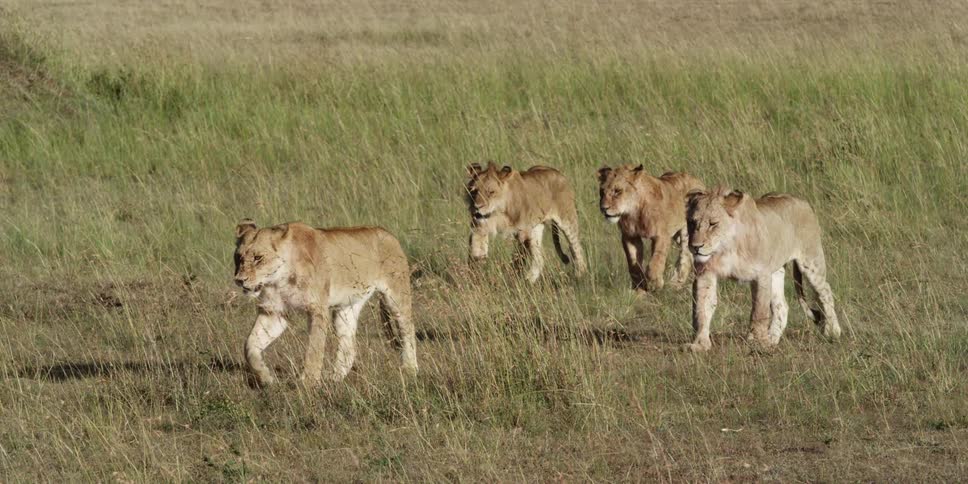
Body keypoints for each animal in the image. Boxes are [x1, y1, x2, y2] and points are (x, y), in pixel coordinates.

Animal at [233, 219, 417, 387]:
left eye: (258, 258)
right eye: (238, 257)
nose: (239, 280)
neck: (277, 281)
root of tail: (387, 233)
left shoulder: (317, 310)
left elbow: (314, 349)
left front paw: (308, 383)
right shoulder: (274, 312)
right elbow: (249, 345)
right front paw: (265, 377)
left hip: (396, 296)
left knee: (408, 328)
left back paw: (410, 368)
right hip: (346, 307)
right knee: (349, 344)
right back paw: (335, 377)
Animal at [683, 187, 842, 351]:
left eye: (713, 224)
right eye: (691, 222)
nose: (695, 247)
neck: (725, 247)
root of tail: (803, 201)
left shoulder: (761, 275)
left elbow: (759, 311)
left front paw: (756, 341)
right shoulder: (705, 273)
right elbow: (701, 309)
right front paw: (699, 344)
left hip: (811, 261)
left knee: (825, 291)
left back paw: (832, 331)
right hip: (777, 271)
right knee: (781, 306)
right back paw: (772, 339)